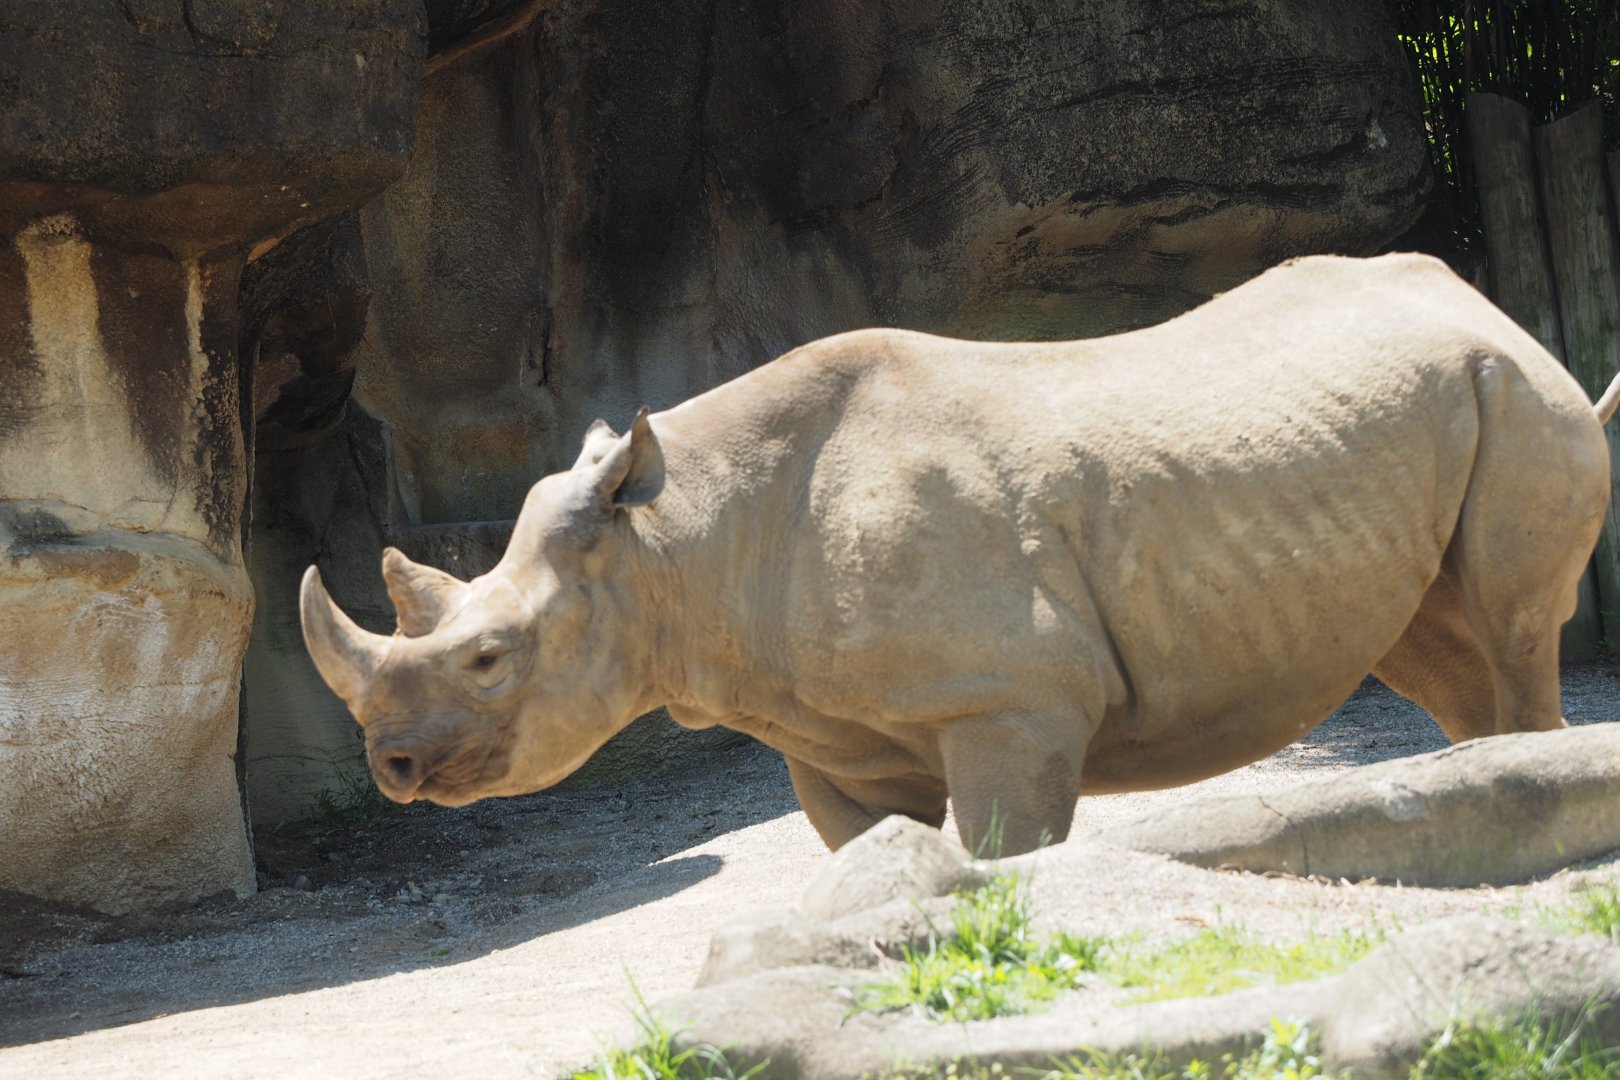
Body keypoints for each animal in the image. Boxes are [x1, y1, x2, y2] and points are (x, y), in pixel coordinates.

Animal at [301, 253, 1620, 856]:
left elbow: (1005, 864)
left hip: (1517, 395)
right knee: (1440, 651)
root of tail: (1494, 309)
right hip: (1452, 404)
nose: (392, 767)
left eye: (489, 658)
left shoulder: (1009, 703)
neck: (676, 548)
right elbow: (873, 876)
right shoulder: (834, 740)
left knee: (1510, 635)